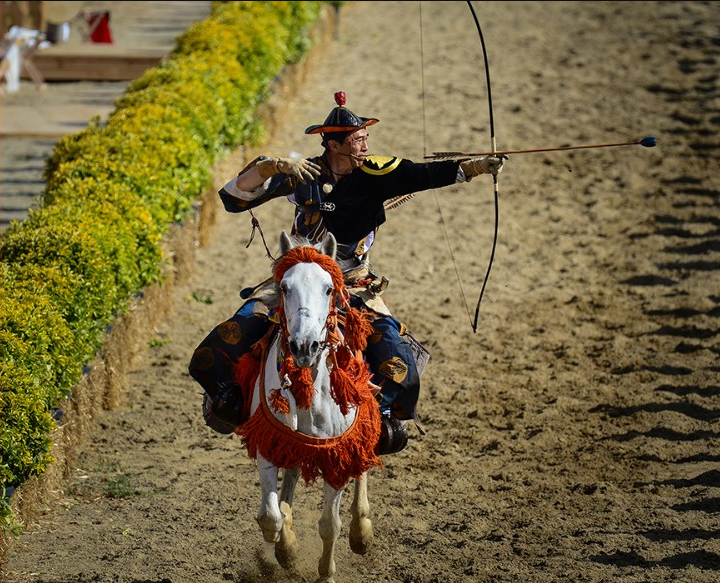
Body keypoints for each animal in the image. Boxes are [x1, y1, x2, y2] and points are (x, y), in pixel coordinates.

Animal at [234, 230, 383, 583]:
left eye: (328, 288)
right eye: (285, 287)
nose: (304, 346)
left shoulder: (336, 456)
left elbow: (330, 524)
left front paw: (325, 573)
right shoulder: (270, 443)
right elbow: (270, 516)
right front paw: (286, 550)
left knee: (363, 468)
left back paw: (362, 531)